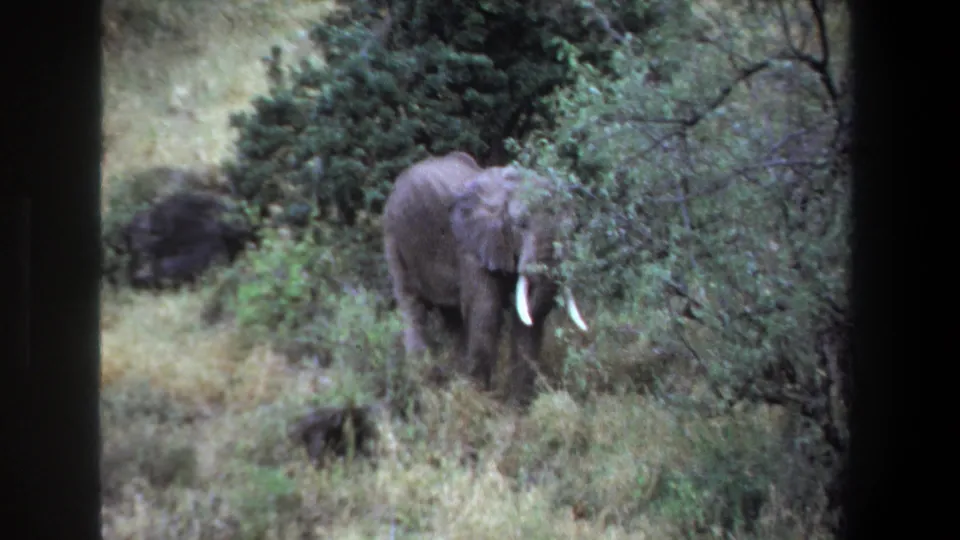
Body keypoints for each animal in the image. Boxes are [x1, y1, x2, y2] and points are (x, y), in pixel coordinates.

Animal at [383, 151, 588, 402]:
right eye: (520, 224)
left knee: (453, 318)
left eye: (571, 229)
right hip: (394, 236)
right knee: (412, 306)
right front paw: (478, 398)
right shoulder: (471, 248)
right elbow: (486, 312)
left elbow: (526, 325)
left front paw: (517, 406)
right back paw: (421, 378)